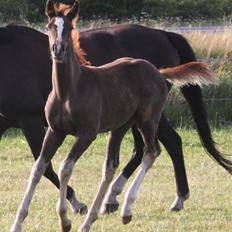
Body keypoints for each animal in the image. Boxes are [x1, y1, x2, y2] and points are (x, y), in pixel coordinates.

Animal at [10, 0, 218, 231]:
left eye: (70, 27)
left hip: (147, 119)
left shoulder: (86, 134)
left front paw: (65, 218)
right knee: (111, 167)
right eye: (50, 26)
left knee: (152, 151)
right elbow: (39, 168)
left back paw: (127, 209)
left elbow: (65, 167)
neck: (69, 90)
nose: (58, 50)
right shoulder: (55, 131)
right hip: (121, 126)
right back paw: (95, 215)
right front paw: (17, 223)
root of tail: (158, 71)